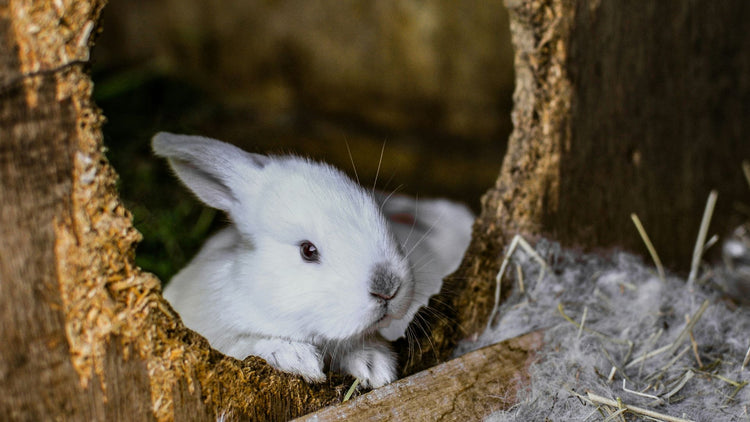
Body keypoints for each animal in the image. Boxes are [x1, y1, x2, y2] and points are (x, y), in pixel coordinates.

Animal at [155, 134, 476, 388]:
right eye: (308, 250)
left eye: (379, 216)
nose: (388, 288)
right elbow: (245, 344)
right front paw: (298, 359)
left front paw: (375, 367)